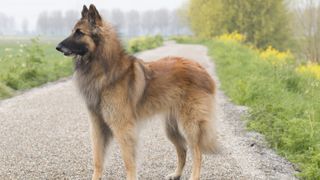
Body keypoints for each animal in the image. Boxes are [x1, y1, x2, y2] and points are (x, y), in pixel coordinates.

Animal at [57, 4, 218, 180]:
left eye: (79, 32)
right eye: (73, 31)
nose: (57, 47)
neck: (104, 68)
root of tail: (202, 69)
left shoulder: (123, 127)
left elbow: (128, 161)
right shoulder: (97, 125)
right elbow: (97, 159)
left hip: (189, 124)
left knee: (197, 152)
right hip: (171, 128)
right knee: (182, 150)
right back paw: (176, 174)